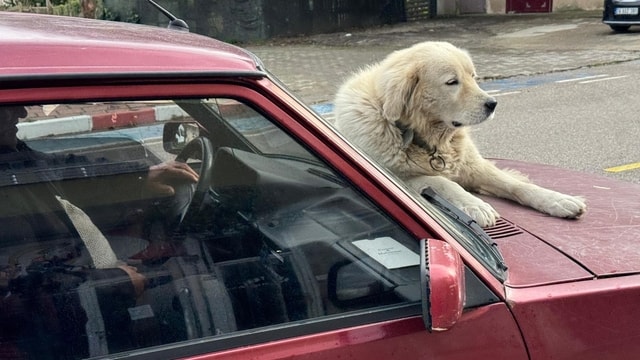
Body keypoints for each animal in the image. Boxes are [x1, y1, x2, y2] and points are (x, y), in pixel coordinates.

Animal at [332, 40, 588, 226]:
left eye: (473, 77)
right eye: (452, 82)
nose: (493, 104)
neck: (430, 141)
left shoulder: (475, 167)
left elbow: (516, 185)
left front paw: (558, 200)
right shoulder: (396, 176)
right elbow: (443, 182)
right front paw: (476, 205)